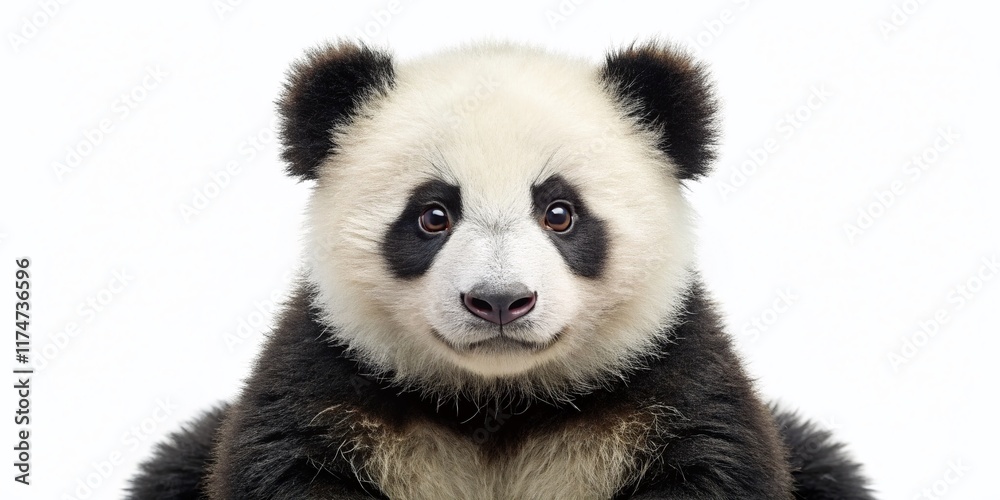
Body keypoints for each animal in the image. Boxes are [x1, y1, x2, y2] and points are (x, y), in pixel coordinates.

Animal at [127, 40, 873, 499]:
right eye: (432, 215)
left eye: (560, 212)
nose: (499, 302)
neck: (498, 404)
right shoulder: (330, 382)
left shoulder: (666, 384)